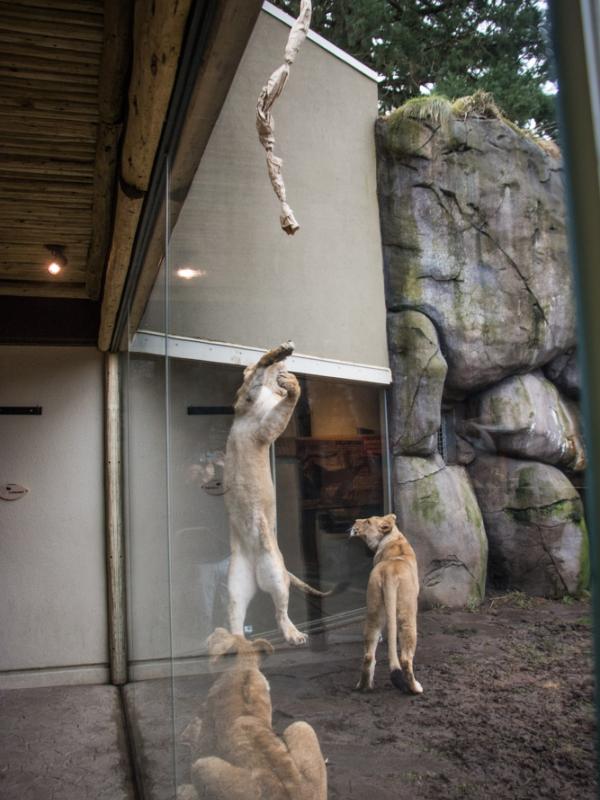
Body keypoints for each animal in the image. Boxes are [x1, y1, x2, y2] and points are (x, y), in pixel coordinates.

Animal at [178, 632, 328, 800]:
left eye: (217, 637)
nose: (214, 631)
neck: (244, 665)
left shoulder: (208, 731)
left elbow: (198, 747)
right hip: (302, 726)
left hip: (204, 767)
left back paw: (185, 791)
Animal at [350, 512, 424, 692]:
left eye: (368, 521)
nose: (355, 521)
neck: (394, 538)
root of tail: (389, 572)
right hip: (407, 613)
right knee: (405, 658)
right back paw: (415, 688)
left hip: (374, 609)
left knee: (368, 655)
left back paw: (364, 686)